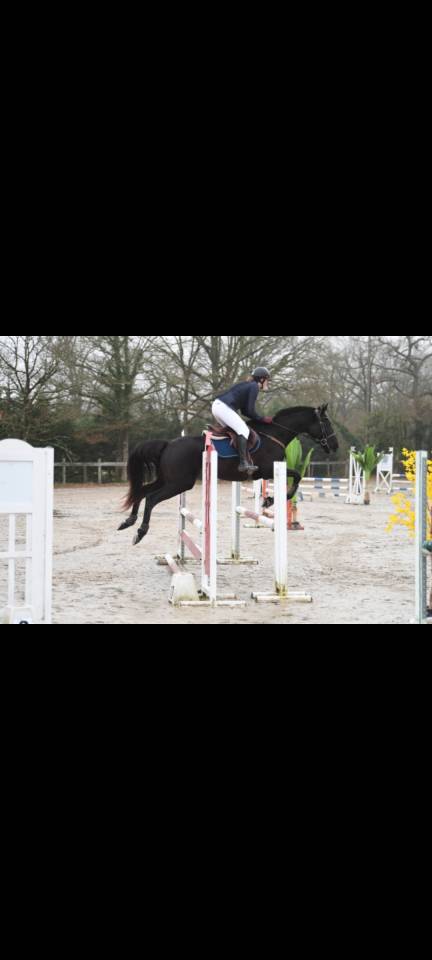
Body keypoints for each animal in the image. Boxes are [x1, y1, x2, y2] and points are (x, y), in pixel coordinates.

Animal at [119, 404, 339, 545]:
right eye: (326, 422)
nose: (335, 446)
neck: (274, 435)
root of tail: (168, 445)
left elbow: (294, 478)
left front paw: (269, 499)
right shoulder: (268, 469)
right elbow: (296, 477)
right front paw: (272, 500)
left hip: (168, 479)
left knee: (142, 491)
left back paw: (128, 521)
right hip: (179, 483)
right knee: (151, 498)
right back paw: (140, 532)